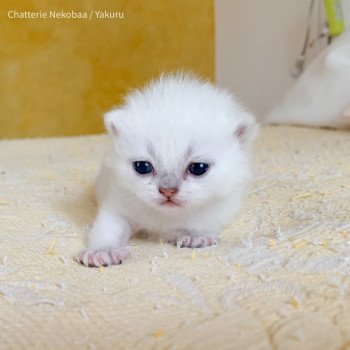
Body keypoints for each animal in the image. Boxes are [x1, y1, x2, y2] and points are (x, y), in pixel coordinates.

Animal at [76, 72, 258, 266]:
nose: (167, 191)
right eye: (142, 167)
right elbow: (108, 228)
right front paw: (103, 251)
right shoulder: (118, 205)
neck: (166, 216)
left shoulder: (219, 208)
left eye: (198, 168)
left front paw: (196, 236)